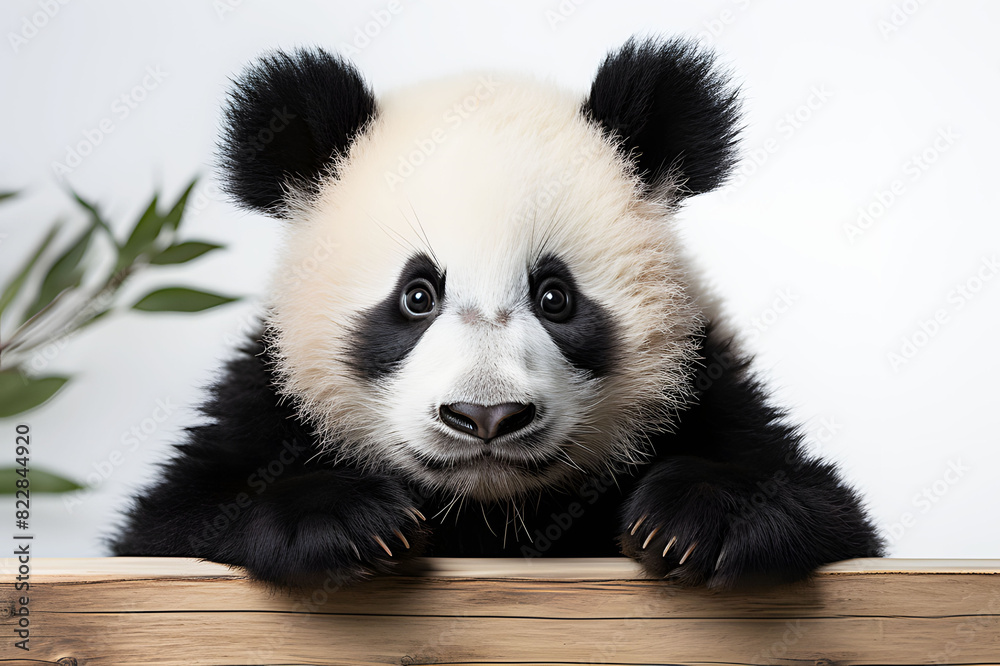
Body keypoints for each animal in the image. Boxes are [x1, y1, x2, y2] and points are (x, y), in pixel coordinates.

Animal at [112, 36, 883, 588]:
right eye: (417, 296)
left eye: (555, 296)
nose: (487, 417)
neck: (492, 512)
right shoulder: (262, 400)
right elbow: (171, 525)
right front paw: (339, 519)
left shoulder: (709, 382)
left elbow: (822, 508)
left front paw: (700, 518)